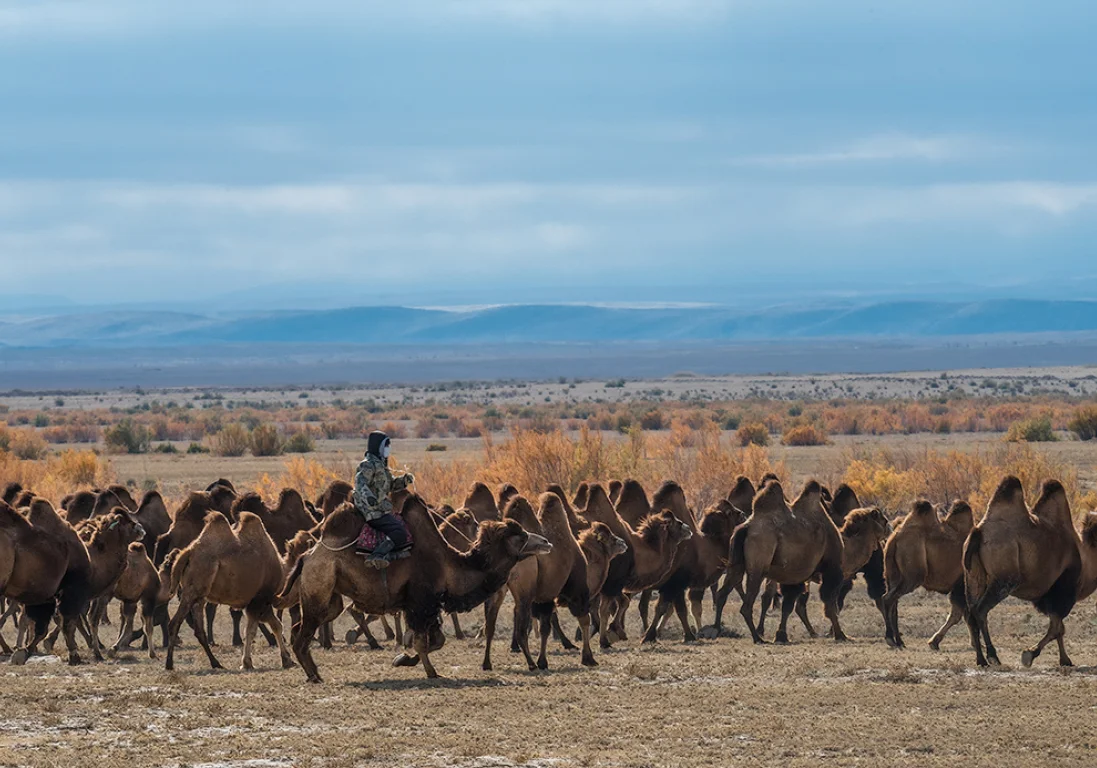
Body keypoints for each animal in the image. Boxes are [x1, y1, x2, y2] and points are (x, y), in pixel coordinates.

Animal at [161, 509, 291, 671]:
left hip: (198, 596)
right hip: (193, 591)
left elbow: (267, 626)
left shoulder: (255, 602)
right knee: (175, 623)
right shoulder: (261, 598)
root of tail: (187, 553)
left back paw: (215, 663)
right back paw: (169, 664)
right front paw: (252, 662)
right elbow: (261, 628)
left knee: (199, 630)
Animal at [724, 480, 842, 640]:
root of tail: (747, 527)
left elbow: (788, 606)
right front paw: (841, 634)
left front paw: (781, 635)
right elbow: (828, 602)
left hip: (738, 564)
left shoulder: (793, 574)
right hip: (758, 566)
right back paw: (758, 638)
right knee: (747, 605)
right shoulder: (831, 567)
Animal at [877, 498, 974, 653]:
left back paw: (900, 641)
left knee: (894, 602)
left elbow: (962, 614)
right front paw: (934, 642)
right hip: (913, 575)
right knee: (888, 598)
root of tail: (894, 538)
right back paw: (890, 639)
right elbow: (960, 614)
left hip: (891, 574)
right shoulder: (961, 584)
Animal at [965, 476, 1083, 667]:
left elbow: (1058, 627)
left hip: (974, 576)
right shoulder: (1062, 587)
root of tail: (978, 532)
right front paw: (1032, 655)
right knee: (980, 610)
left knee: (970, 612)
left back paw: (981, 659)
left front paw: (1063, 659)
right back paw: (993, 656)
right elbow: (1057, 627)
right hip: (1004, 579)